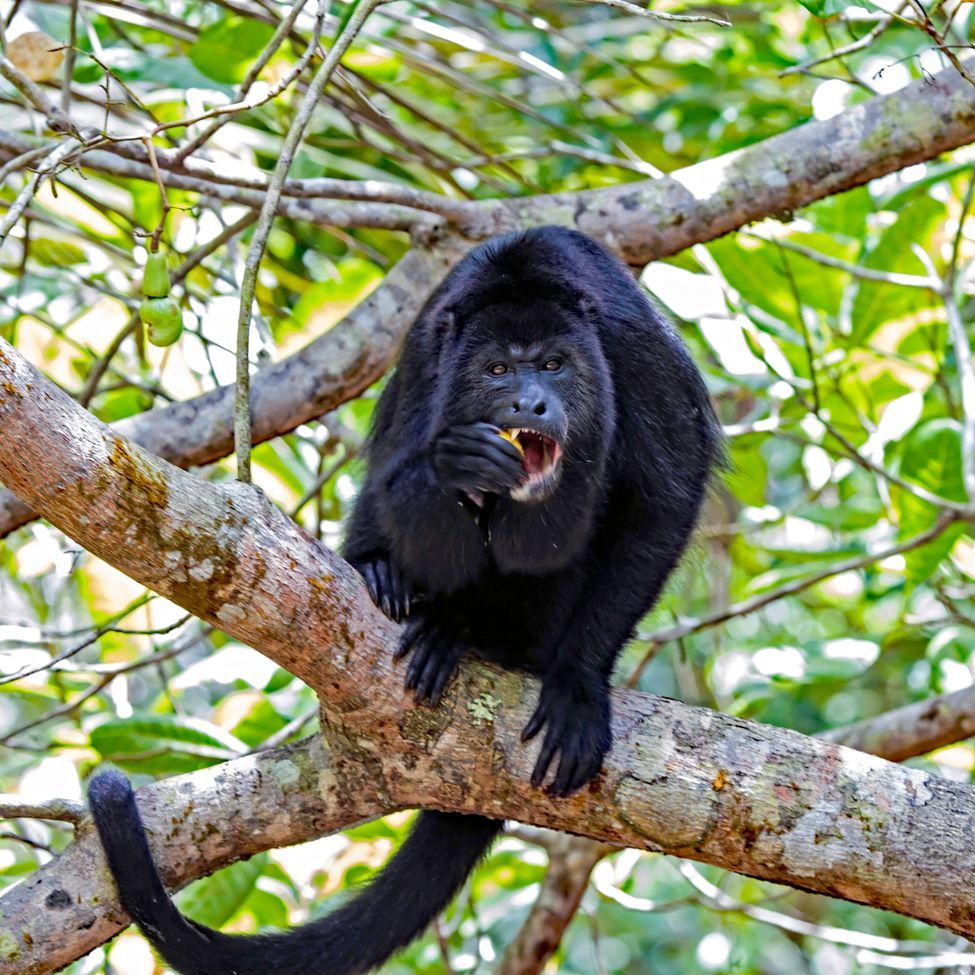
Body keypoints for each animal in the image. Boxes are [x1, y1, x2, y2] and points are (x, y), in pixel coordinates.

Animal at [88, 226, 721, 975]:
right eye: (498, 370)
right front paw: (447, 478)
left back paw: (479, 635)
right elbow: (397, 471)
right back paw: (423, 606)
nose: (528, 404)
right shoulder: (428, 354)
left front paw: (575, 684)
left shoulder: (632, 350)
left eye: (554, 364)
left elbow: (661, 501)